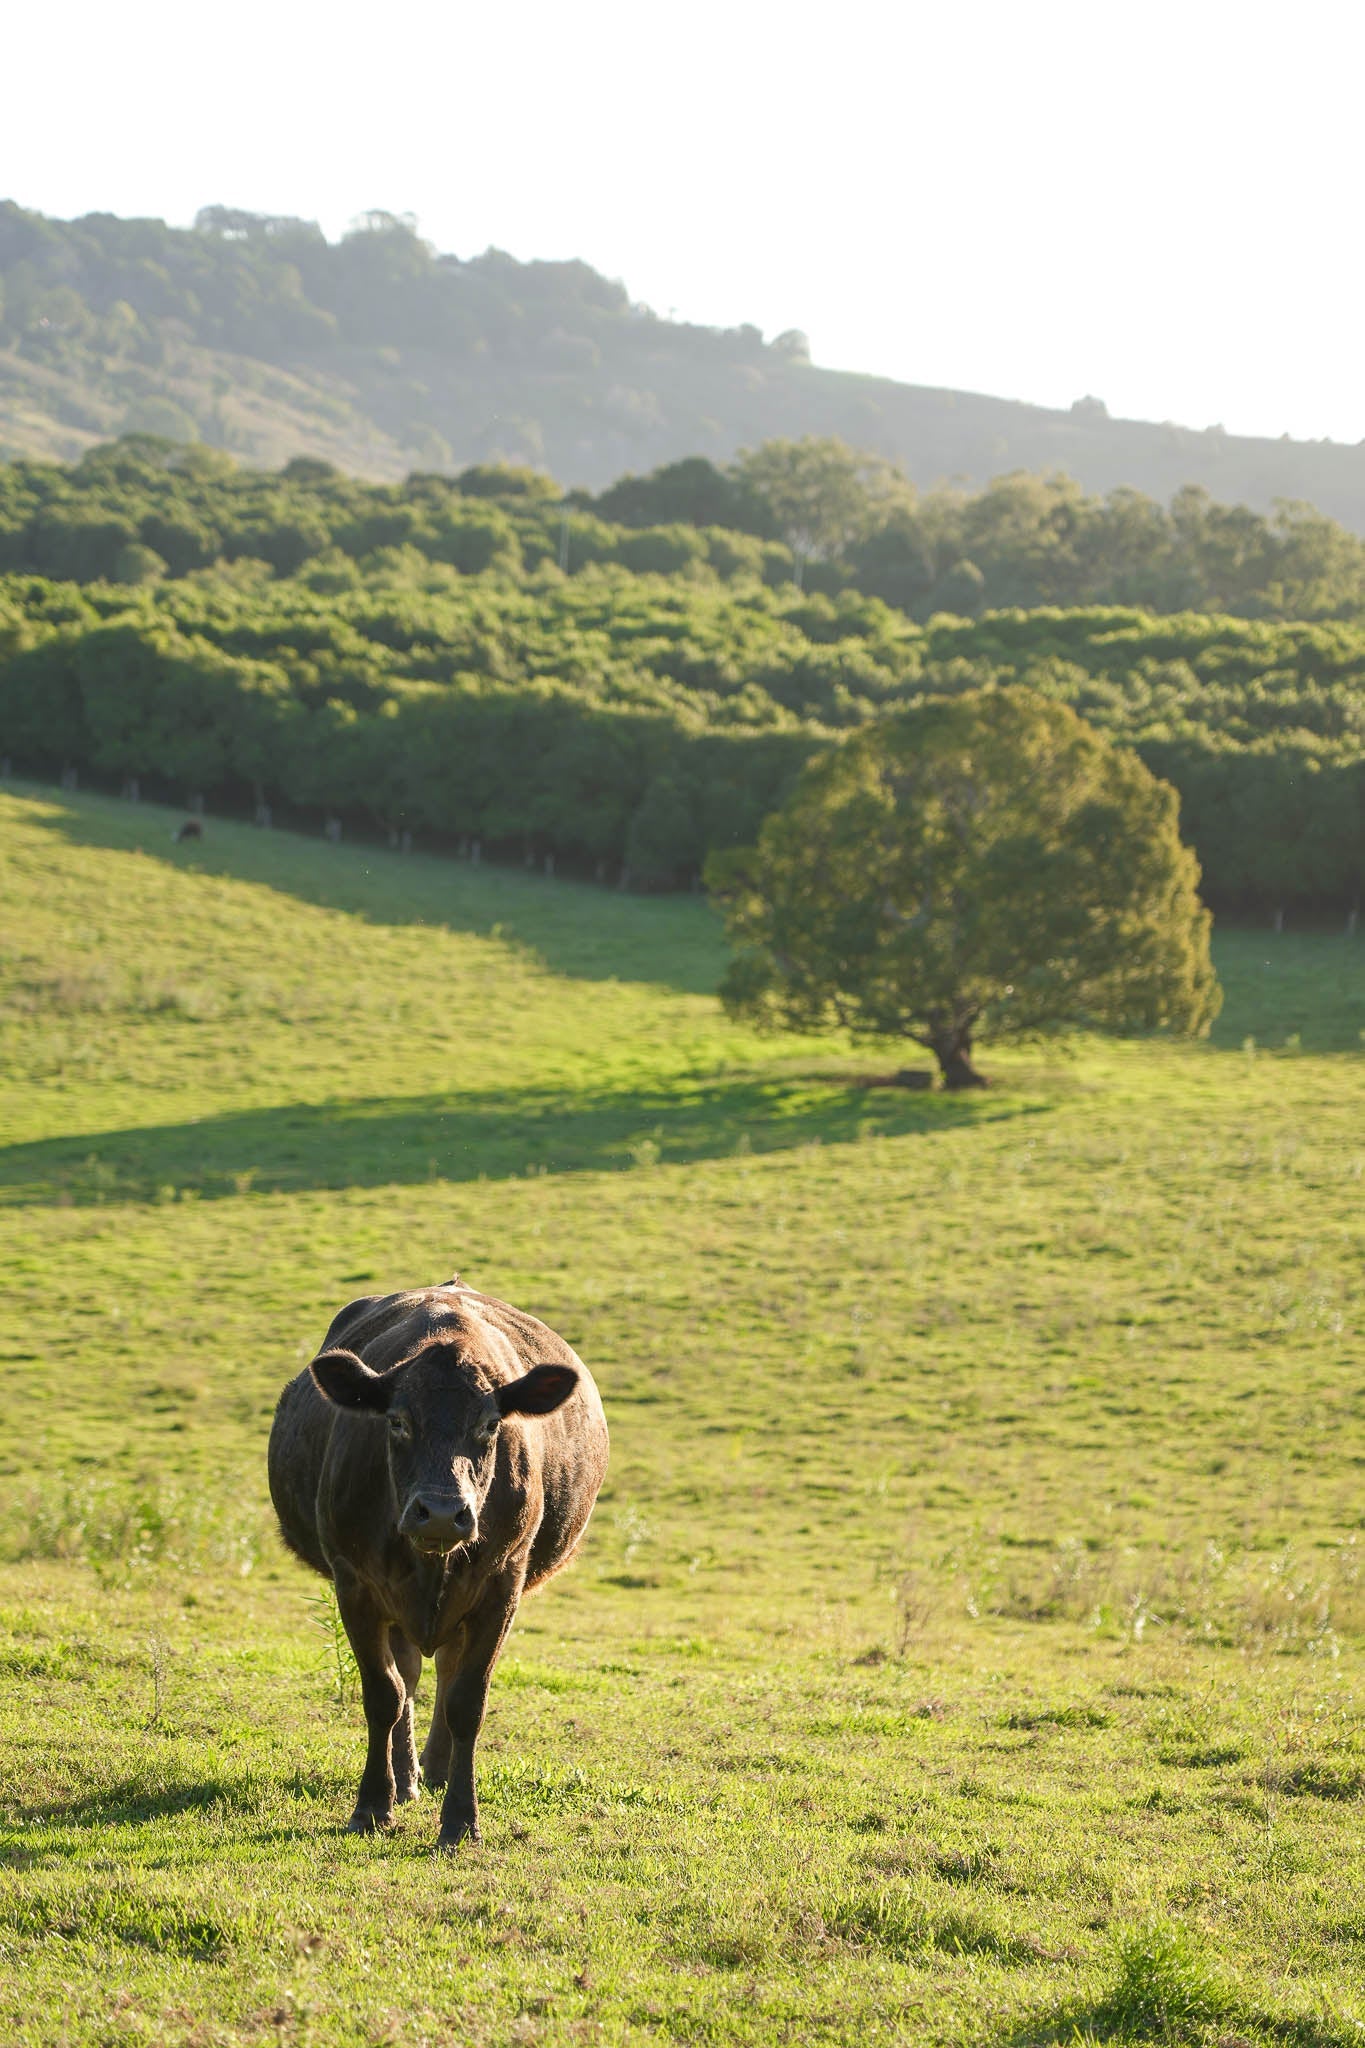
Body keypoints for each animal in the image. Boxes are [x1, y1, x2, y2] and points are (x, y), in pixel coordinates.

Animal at [267, 1277, 608, 1850]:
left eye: (490, 1424)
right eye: (398, 1421)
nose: (443, 1513)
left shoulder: (502, 1585)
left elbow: (467, 1700)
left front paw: (461, 1819)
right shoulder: (354, 1584)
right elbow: (383, 1694)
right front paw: (372, 1805)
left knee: (445, 1673)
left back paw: (439, 1771)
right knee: (407, 1676)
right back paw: (405, 1777)